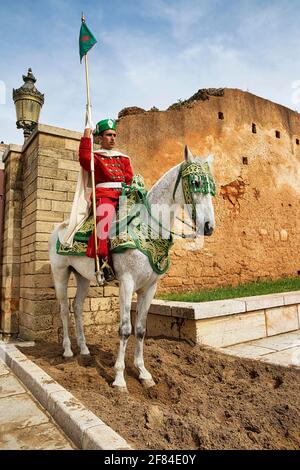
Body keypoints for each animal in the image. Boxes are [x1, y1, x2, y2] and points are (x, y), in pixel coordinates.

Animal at [48, 146, 214, 390]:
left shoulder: (150, 287)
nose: (209, 226)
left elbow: (141, 330)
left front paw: (143, 373)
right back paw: (68, 350)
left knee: (77, 307)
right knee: (62, 309)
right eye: (194, 182)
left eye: (213, 186)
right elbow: (125, 329)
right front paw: (119, 378)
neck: (147, 227)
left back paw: (85, 349)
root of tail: (62, 227)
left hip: (83, 277)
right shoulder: (127, 283)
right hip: (60, 273)